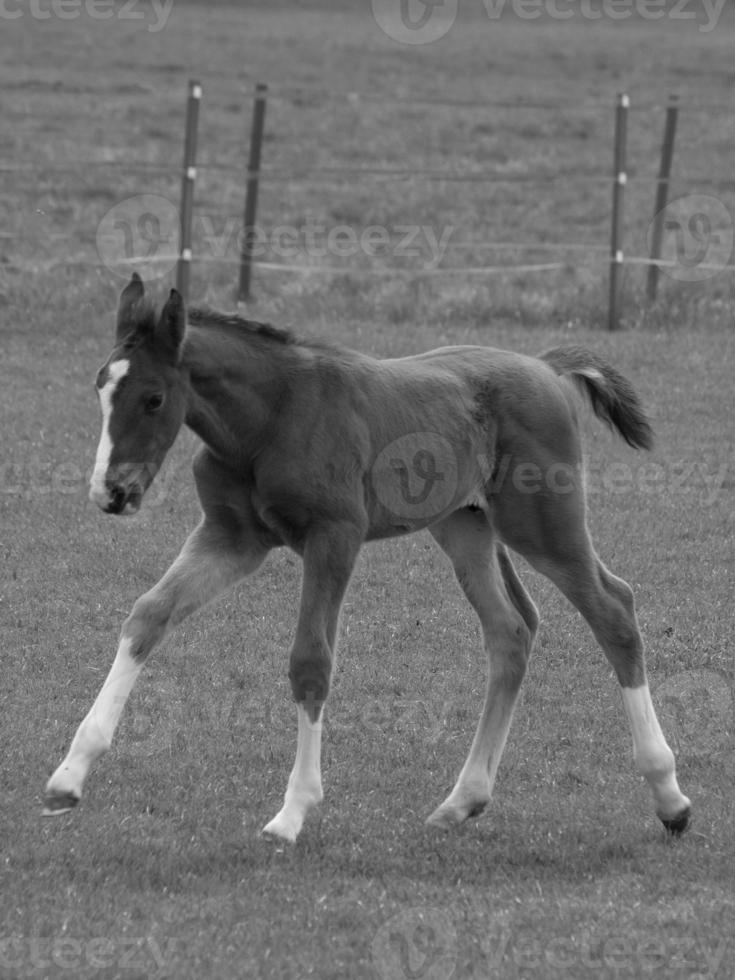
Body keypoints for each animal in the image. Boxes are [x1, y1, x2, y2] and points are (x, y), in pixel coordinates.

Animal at [44, 276, 688, 844]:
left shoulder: (335, 536)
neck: (269, 419)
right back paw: (462, 801)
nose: (112, 493)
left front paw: (293, 813)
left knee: (613, 609)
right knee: (511, 630)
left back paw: (670, 798)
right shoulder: (232, 538)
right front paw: (68, 778)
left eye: (154, 398)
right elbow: (148, 616)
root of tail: (547, 368)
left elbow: (310, 661)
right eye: (100, 388)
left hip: (543, 523)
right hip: (465, 526)